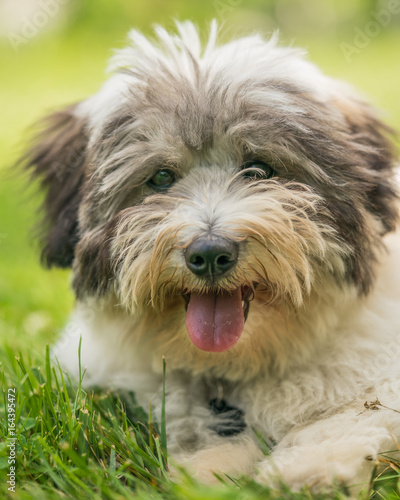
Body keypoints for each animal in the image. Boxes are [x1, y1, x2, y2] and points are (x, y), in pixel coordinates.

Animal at [25, 21, 400, 494]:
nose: (209, 254)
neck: (233, 367)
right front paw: (206, 471)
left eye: (259, 170)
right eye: (160, 177)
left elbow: (352, 414)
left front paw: (312, 469)